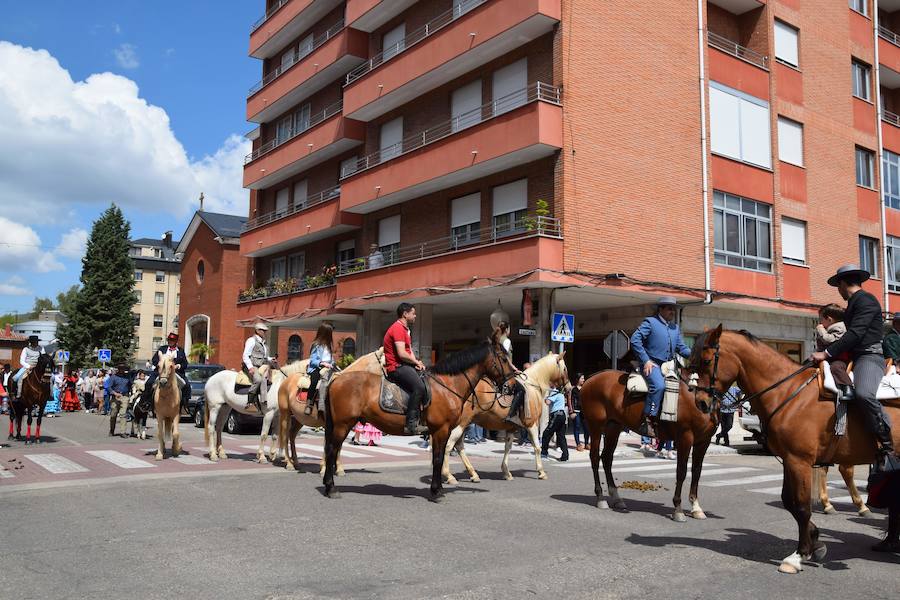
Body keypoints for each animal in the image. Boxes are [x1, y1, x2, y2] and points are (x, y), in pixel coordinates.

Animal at [322, 332, 512, 502]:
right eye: (504, 358)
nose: (511, 384)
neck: (448, 386)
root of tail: (336, 379)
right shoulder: (441, 430)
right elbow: (438, 459)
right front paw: (436, 492)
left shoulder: (442, 431)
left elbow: (439, 457)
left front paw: (438, 489)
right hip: (343, 424)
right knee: (332, 450)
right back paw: (331, 488)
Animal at [442, 352, 568, 482]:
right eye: (565, 368)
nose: (568, 387)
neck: (533, 386)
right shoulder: (532, 424)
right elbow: (537, 447)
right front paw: (541, 472)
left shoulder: (511, 428)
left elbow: (508, 448)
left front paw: (507, 472)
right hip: (462, 423)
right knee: (449, 445)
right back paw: (449, 475)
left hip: (464, 423)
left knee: (459, 446)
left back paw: (473, 474)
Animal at [576, 366, 716, 520]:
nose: (704, 403)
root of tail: (591, 378)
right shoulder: (685, 438)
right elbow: (681, 471)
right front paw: (678, 509)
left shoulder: (703, 442)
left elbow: (696, 472)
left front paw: (696, 507)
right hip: (595, 426)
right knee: (595, 458)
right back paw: (601, 498)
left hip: (613, 426)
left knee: (607, 458)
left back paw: (617, 498)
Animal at [688, 326, 900, 576]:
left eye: (706, 360)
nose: (700, 403)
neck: (788, 392)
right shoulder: (789, 460)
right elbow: (788, 502)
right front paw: (815, 542)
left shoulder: (800, 462)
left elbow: (801, 506)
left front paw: (798, 556)